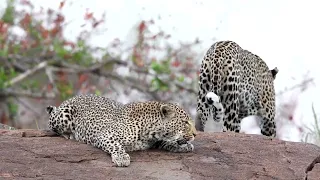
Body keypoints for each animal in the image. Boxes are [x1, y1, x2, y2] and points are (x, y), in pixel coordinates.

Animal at [46, 93, 196, 167]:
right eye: (185, 122)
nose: (195, 134)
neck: (150, 130)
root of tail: (72, 97)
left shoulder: (155, 140)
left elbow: (167, 142)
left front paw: (184, 146)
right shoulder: (105, 135)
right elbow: (115, 145)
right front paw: (121, 157)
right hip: (63, 115)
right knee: (51, 123)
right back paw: (69, 135)